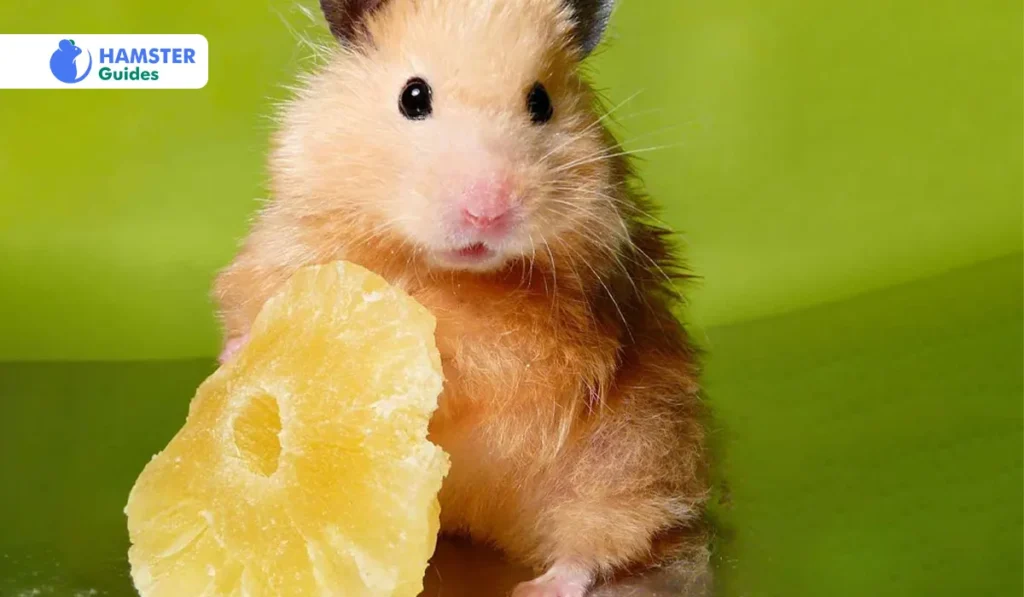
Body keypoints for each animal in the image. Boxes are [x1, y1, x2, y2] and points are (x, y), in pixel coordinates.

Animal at [214, 0, 710, 595]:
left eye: (541, 103)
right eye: (413, 97)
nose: (486, 212)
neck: (435, 268)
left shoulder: (535, 339)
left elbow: (463, 367)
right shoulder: (290, 248)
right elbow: (261, 305)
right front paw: (237, 358)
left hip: (629, 458)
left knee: (602, 541)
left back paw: (538, 586)